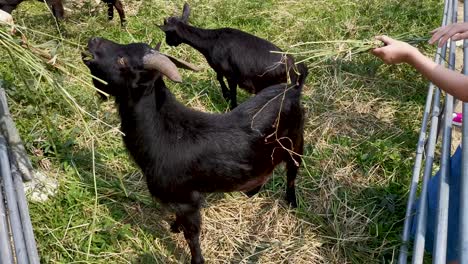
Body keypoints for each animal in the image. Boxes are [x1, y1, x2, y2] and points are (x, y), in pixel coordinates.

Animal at [82, 36, 308, 262]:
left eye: (122, 61)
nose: (93, 41)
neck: (166, 132)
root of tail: (293, 89)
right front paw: (175, 226)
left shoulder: (187, 200)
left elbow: (192, 235)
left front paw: (196, 258)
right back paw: (252, 192)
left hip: (295, 142)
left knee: (292, 171)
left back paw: (292, 201)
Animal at [159, 2, 302, 108]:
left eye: (168, 33)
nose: (168, 42)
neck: (212, 42)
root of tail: (292, 66)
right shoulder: (219, 68)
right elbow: (219, 77)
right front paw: (226, 95)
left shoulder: (231, 74)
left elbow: (232, 90)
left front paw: (231, 103)